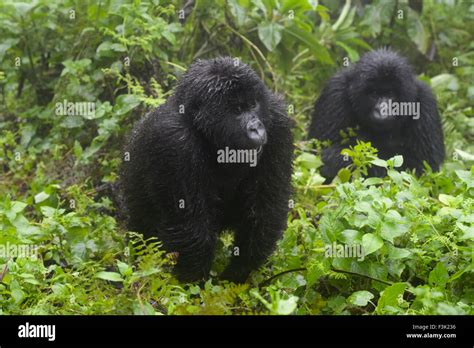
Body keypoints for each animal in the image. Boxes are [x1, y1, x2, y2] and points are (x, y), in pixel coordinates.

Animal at [120, 57, 294, 284]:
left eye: (253, 105)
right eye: (237, 110)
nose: (256, 128)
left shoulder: (277, 121)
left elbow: (265, 210)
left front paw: (239, 271)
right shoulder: (173, 140)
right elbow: (191, 228)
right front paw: (195, 283)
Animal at [308, 49, 444, 185]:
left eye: (390, 93)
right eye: (374, 93)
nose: (382, 109)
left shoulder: (425, 101)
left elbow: (423, 168)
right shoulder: (334, 92)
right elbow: (317, 152)